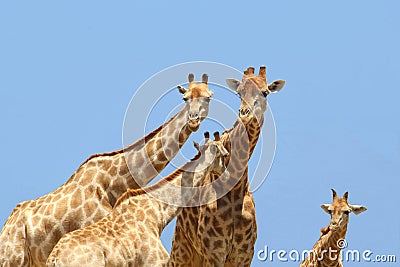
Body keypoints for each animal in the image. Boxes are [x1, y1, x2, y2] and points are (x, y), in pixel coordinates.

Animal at [170, 66, 286, 266]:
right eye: (239, 92)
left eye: (265, 92)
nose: (244, 113)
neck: (234, 189)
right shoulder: (214, 252)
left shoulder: (244, 254)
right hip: (182, 252)